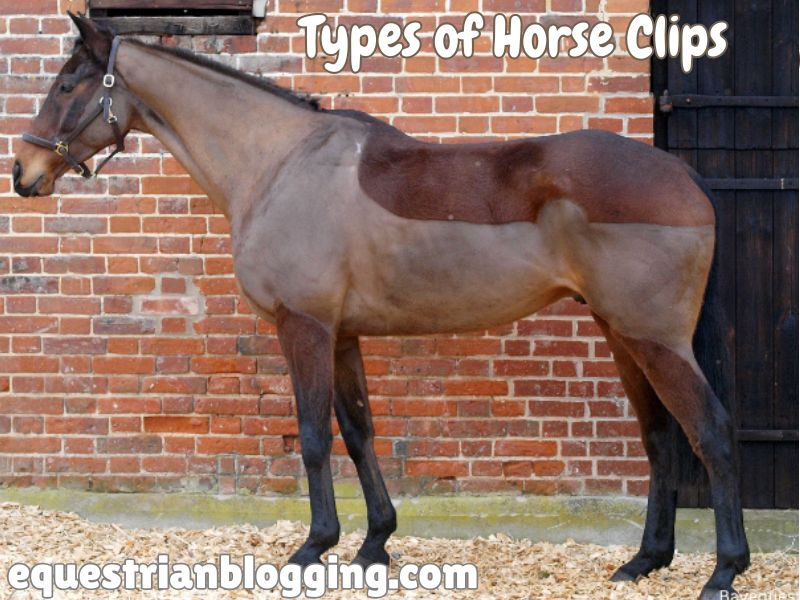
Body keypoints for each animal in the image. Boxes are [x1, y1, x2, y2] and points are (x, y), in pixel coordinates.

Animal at [12, 14, 750, 599]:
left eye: (68, 86)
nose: (24, 172)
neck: (278, 164)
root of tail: (683, 178)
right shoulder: (342, 335)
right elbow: (359, 430)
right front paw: (374, 544)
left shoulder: (304, 326)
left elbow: (313, 435)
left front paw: (313, 547)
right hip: (621, 333)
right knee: (659, 437)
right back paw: (645, 561)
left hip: (653, 339)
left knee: (710, 431)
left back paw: (723, 572)